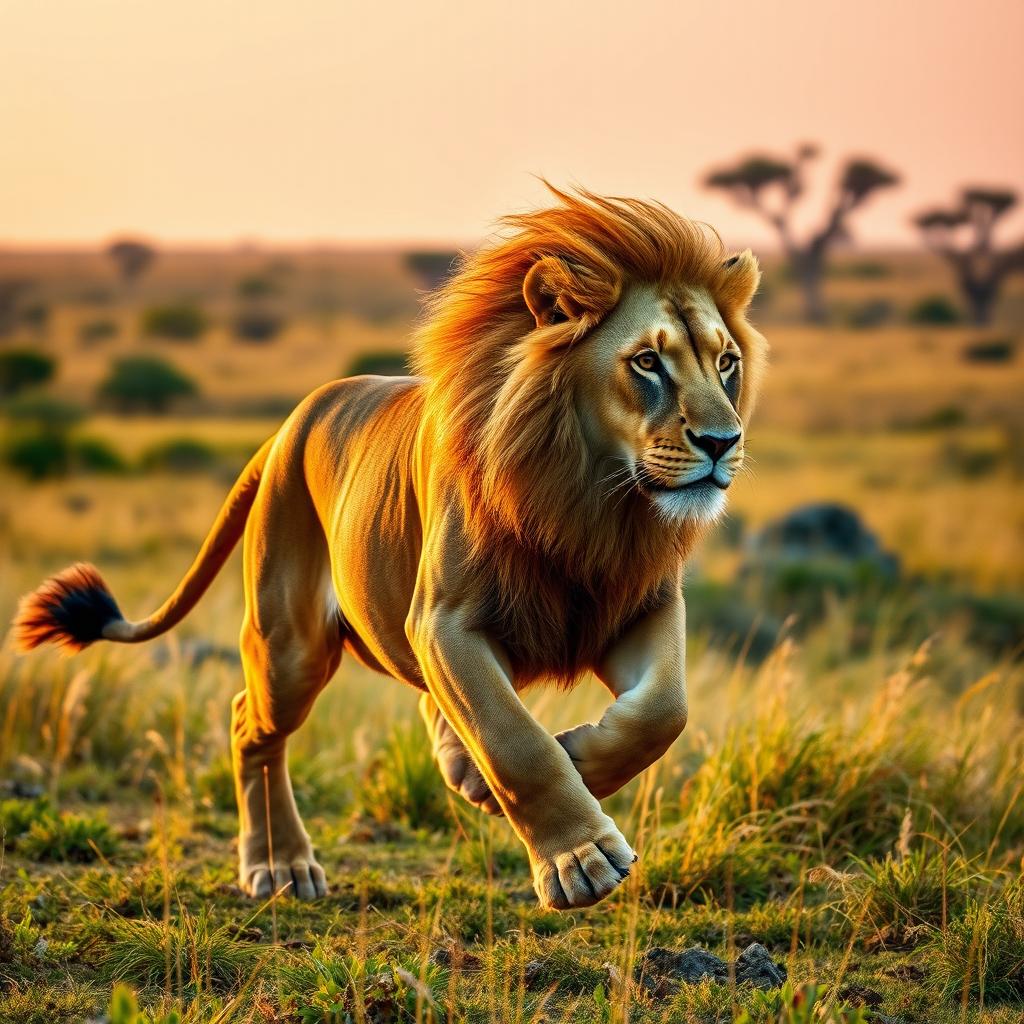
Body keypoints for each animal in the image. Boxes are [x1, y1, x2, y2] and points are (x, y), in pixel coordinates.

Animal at [13, 186, 766, 910]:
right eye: (647, 362)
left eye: (726, 363)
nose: (723, 442)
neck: (593, 498)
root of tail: (292, 422)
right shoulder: (445, 621)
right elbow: (515, 740)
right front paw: (579, 861)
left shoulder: (638, 602)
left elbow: (662, 711)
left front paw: (580, 758)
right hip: (292, 644)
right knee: (250, 725)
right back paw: (279, 866)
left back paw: (461, 775)